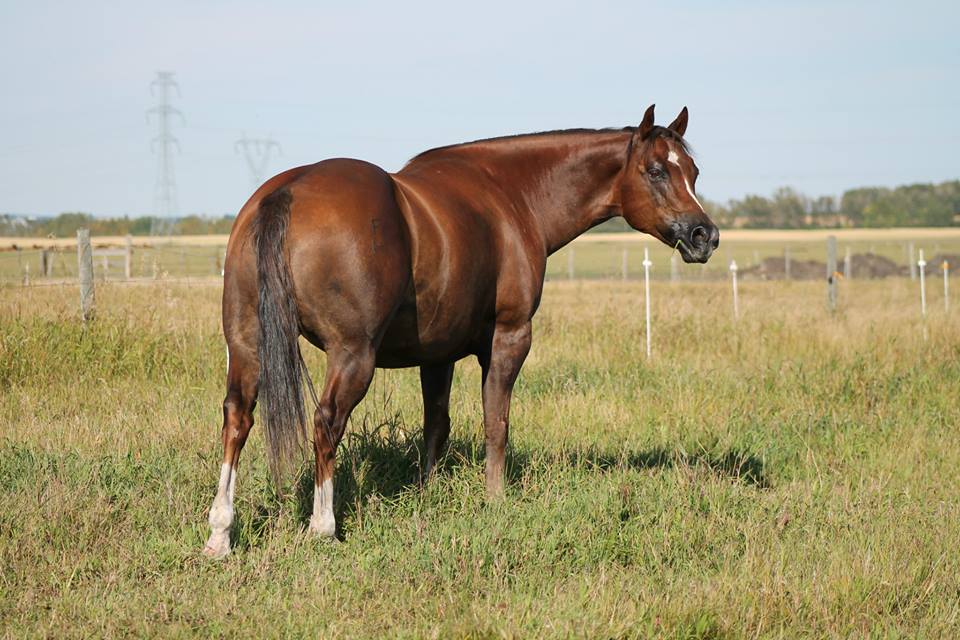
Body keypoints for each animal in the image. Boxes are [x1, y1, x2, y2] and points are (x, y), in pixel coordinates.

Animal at [203, 104, 719, 557]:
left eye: (693, 171)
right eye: (656, 170)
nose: (705, 236)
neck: (510, 196)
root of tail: (286, 192)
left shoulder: (437, 354)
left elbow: (437, 425)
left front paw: (426, 494)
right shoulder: (509, 337)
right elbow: (497, 421)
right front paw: (496, 498)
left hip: (246, 345)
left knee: (237, 418)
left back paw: (220, 533)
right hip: (352, 354)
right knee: (327, 422)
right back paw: (323, 528)